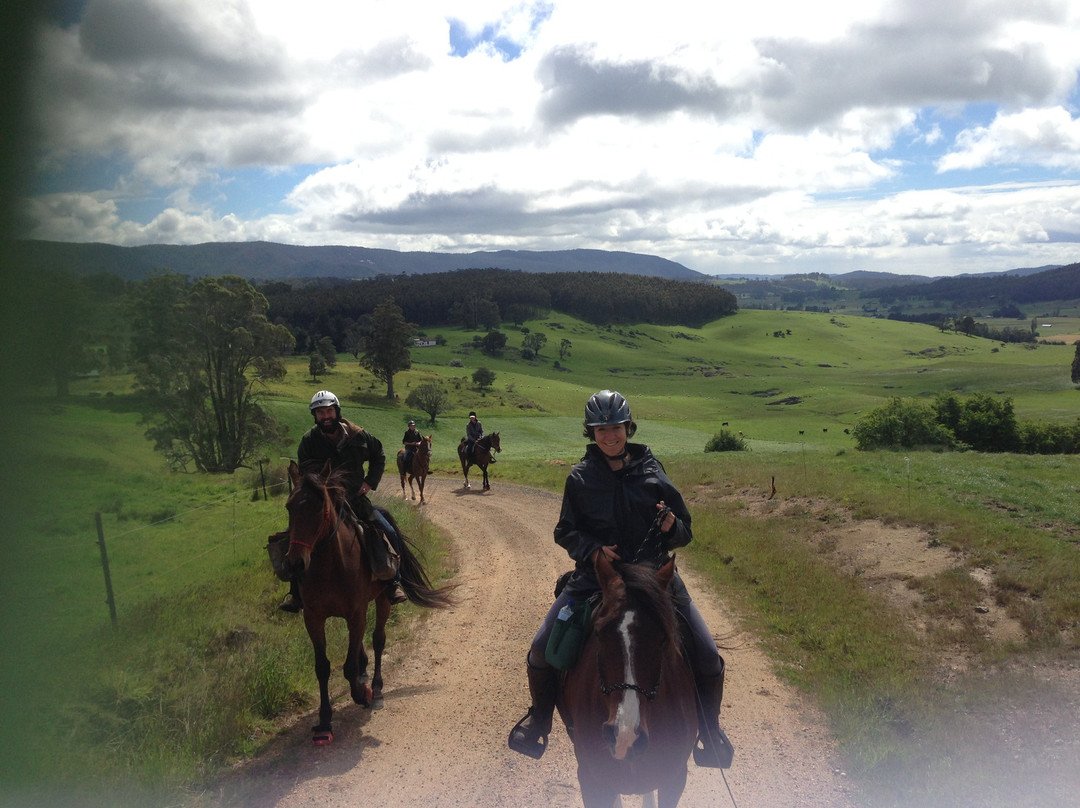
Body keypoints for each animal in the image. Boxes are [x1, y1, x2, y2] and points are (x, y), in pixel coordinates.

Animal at [282, 460, 451, 743]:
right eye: (289, 507)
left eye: (320, 508)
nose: (295, 563)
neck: (331, 566)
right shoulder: (313, 618)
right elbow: (322, 667)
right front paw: (324, 722)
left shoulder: (356, 613)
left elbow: (349, 665)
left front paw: (362, 694)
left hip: (382, 601)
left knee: (377, 640)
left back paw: (376, 689)